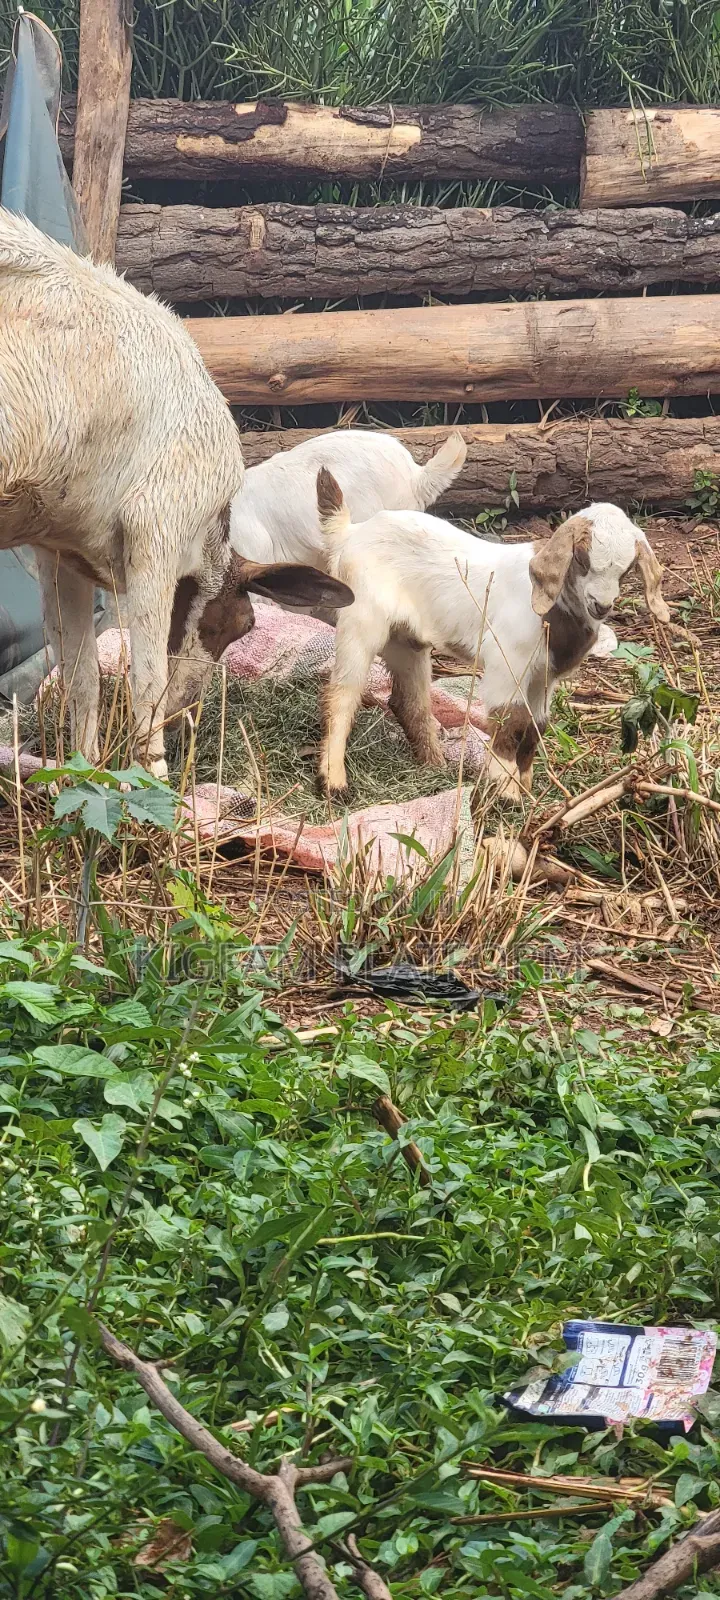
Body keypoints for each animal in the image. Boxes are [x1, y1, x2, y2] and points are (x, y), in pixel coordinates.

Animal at [0, 209, 351, 776]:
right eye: (241, 625)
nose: (187, 715)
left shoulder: (58, 547)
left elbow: (80, 676)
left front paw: (82, 772)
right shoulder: (156, 529)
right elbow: (146, 681)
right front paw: (154, 782)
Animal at [315, 470, 670, 800]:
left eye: (628, 568)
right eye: (581, 558)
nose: (601, 604)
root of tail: (351, 532)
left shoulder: (545, 676)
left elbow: (536, 725)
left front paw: (525, 787)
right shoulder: (507, 661)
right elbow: (509, 721)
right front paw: (506, 790)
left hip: (407, 639)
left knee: (408, 700)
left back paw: (434, 764)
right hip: (361, 618)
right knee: (342, 693)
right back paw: (334, 781)